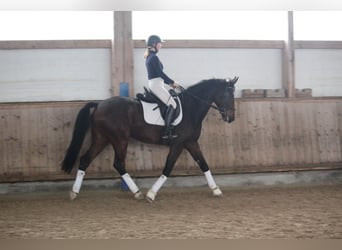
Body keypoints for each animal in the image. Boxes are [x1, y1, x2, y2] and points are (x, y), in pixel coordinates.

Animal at [61, 76, 238, 201]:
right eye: (228, 93)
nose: (231, 118)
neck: (191, 108)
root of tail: (99, 104)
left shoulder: (191, 142)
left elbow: (204, 164)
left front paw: (216, 189)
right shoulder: (178, 143)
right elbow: (168, 167)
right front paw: (151, 194)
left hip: (101, 138)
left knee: (85, 159)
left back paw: (74, 192)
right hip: (119, 139)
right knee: (118, 163)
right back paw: (137, 192)